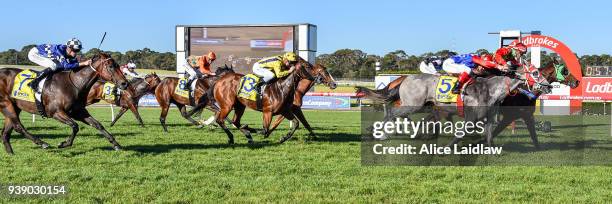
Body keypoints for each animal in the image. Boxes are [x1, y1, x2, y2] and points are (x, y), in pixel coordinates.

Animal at [0, 53, 128, 154]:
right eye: (111, 66)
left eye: (118, 66)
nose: (125, 83)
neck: (75, 84)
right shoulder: (56, 112)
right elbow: (75, 126)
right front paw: (64, 143)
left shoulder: (79, 112)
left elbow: (97, 124)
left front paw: (116, 144)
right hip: (6, 104)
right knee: (18, 127)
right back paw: (42, 143)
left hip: (14, 107)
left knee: (6, 132)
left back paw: (11, 153)